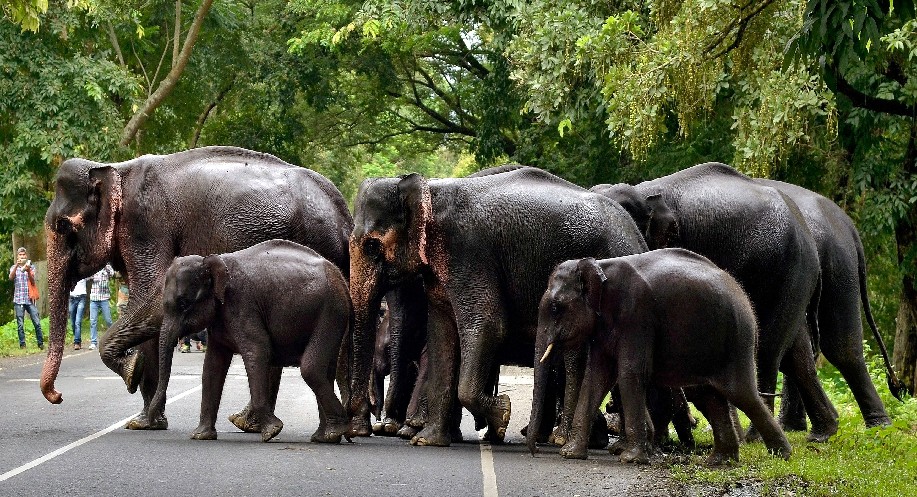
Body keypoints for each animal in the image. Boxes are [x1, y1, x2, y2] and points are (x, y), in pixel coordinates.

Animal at [151, 240, 351, 443]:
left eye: (183, 304)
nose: (154, 423)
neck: (212, 260)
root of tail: (340, 277)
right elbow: (212, 365)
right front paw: (200, 436)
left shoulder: (241, 304)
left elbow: (257, 351)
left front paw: (272, 432)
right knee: (325, 370)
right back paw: (325, 436)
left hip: (331, 312)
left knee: (311, 369)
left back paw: (337, 430)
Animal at [347, 166, 648, 446]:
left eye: (372, 246)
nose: (357, 431)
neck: (431, 188)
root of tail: (636, 236)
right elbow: (442, 335)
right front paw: (427, 441)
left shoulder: (468, 254)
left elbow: (487, 325)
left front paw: (502, 415)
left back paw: (573, 440)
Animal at [531, 250, 793, 465]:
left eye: (555, 308)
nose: (535, 451)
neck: (599, 266)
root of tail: (743, 295)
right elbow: (596, 377)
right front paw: (570, 454)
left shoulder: (637, 316)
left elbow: (630, 374)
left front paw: (631, 459)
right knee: (710, 396)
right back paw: (719, 461)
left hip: (736, 340)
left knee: (741, 393)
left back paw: (781, 456)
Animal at [591, 162, 839, 442]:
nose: (611, 412)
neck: (644, 191)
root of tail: (806, 232)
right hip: (795, 279)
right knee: (797, 352)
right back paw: (823, 433)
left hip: (786, 269)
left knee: (767, 350)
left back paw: (755, 437)